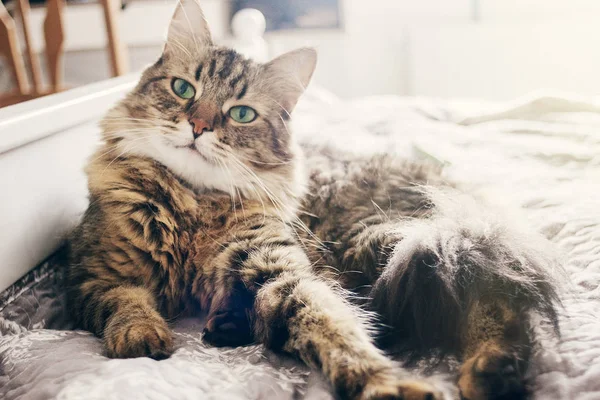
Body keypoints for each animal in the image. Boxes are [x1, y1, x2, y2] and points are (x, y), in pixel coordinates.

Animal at [67, 0, 564, 400]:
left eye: (241, 114)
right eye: (183, 89)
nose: (199, 126)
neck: (192, 202)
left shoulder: (278, 269)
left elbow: (332, 326)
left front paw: (385, 383)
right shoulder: (96, 277)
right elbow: (127, 303)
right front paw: (141, 335)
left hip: (395, 242)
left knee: (489, 294)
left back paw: (490, 370)